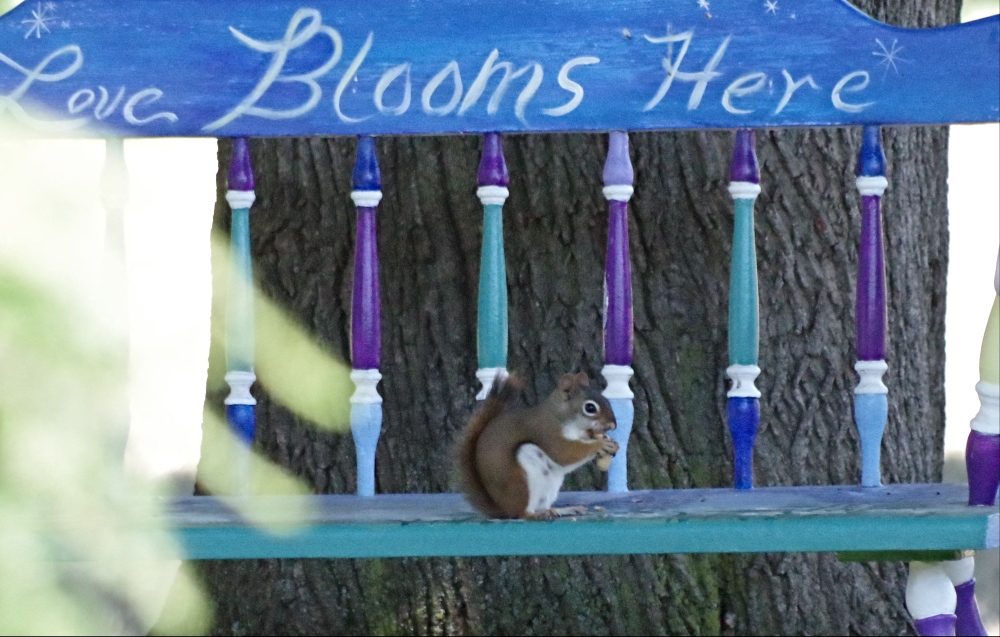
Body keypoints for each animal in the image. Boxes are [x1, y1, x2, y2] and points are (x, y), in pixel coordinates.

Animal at [458, 372, 616, 516]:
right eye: (590, 408)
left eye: (607, 400)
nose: (613, 425)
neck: (560, 417)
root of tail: (503, 510)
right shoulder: (546, 433)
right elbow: (564, 453)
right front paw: (600, 444)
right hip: (522, 483)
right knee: (522, 514)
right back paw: (536, 515)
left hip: (550, 487)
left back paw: (562, 510)